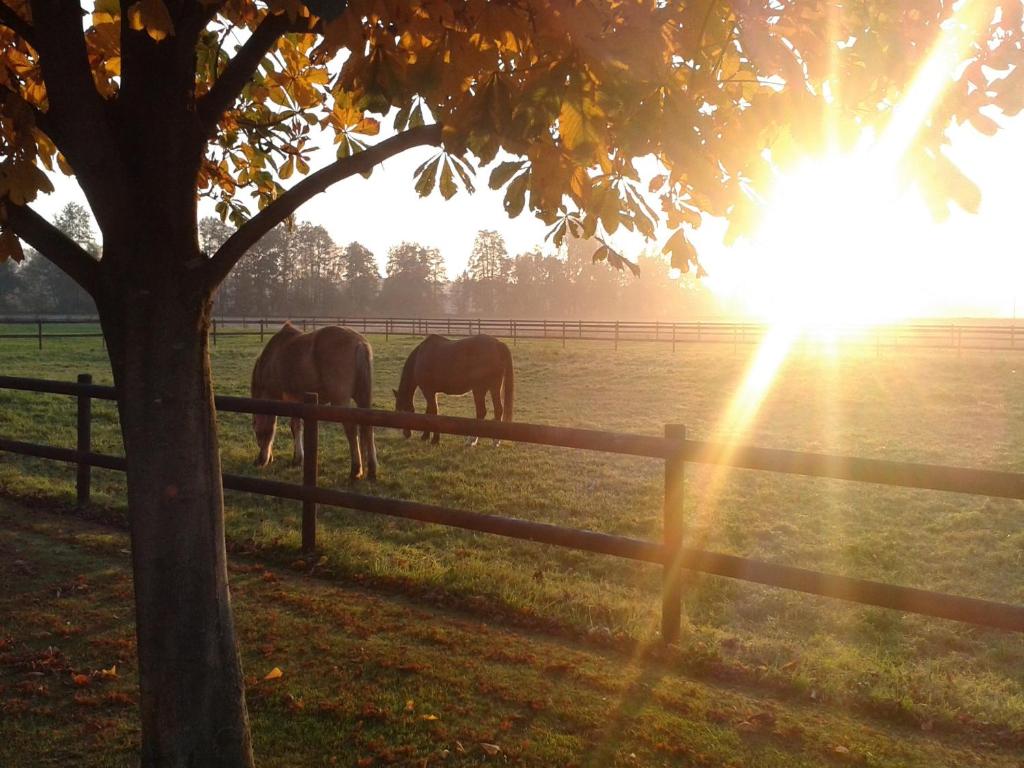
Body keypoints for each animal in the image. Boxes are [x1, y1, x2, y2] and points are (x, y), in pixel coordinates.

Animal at [249, 319, 378, 481]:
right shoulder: (297, 401)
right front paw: (298, 458)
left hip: (340, 400)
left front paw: (297, 458)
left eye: (257, 432)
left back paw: (355, 470)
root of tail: (359, 343)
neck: (272, 359)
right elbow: (297, 426)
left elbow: (290, 426)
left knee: (351, 429)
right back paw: (372, 470)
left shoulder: (286, 399)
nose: (260, 461)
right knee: (368, 428)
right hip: (363, 398)